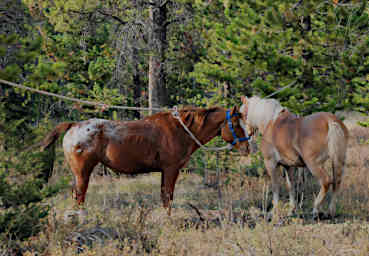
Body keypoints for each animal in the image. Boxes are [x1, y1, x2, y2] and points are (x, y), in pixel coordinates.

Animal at [41, 105, 250, 215]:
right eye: (236, 125)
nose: (247, 148)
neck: (181, 130)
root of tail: (73, 125)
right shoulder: (171, 169)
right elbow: (167, 197)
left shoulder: (165, 171)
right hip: (82, 173)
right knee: (79, 197)